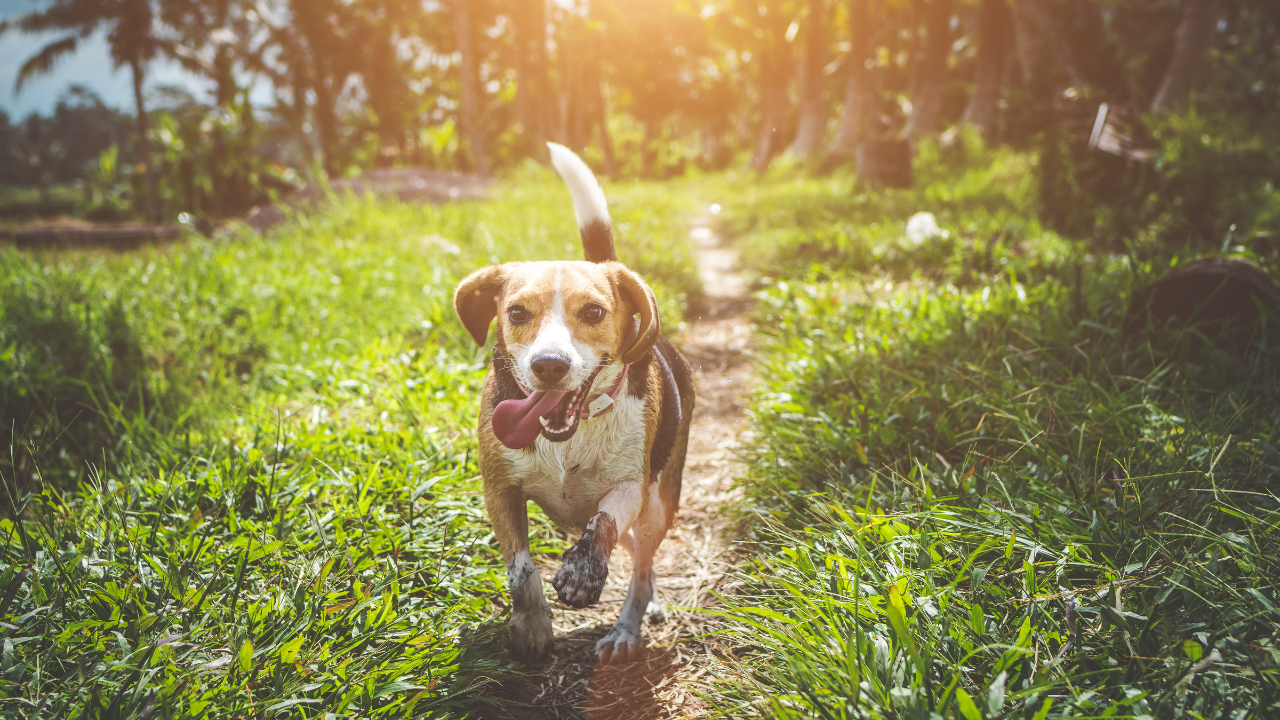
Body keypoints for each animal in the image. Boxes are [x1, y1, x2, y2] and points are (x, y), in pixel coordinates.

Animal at [453, 141, 696, 661]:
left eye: (594, 312)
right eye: (516, 313)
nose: (549, 365)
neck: (572, 433)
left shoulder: (630, 486)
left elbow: (603, 522)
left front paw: (583, 573)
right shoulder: (499, 490)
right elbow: (521, 569)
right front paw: (532, 626)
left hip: (660, 503)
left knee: (640, 566)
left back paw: (627, 627)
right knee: (636, 556)